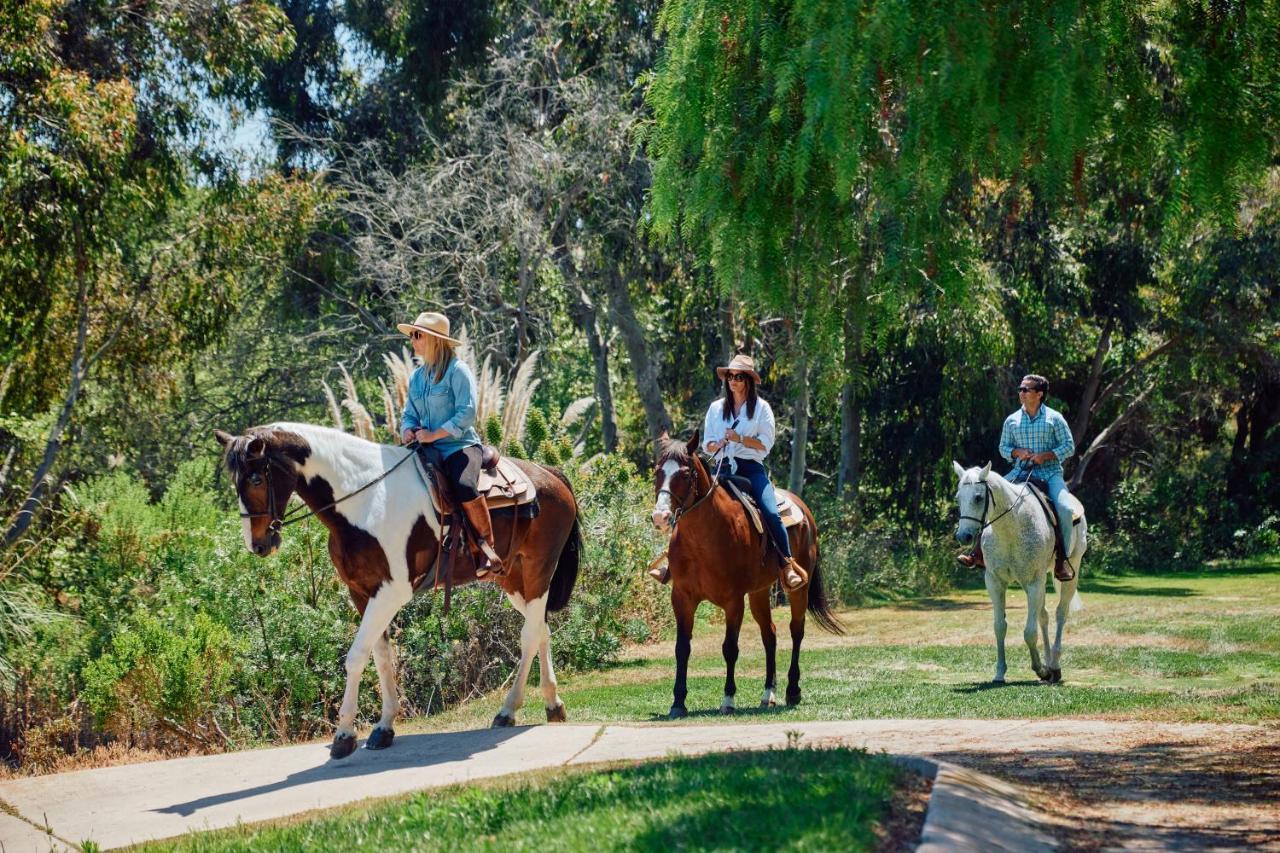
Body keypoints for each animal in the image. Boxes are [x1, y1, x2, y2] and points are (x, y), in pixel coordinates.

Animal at [213, 422, 581, 753]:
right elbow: (382, 656)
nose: (258, 545)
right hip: (513, 580)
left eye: (256, 479)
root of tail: (550, 474)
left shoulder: (390, 593)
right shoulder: (362, 593)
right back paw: (553, 704)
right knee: (542, 629)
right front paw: (384, 727)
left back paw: (507, 710)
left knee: (529, 635)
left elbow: (356, 657)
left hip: (537, 572)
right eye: (235, 483)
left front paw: (345, 736)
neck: (364, 503)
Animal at [650, 432, 839, 717]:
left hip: (799, 589)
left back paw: (792, 691)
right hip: (759, 592)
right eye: (657, 472)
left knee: (796, 631)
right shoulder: (682, 598)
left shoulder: (733, 600)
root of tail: (803, 508)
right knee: (770, 634)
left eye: (684, 473)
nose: (660, 516)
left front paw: (728, 699)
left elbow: (730, 648)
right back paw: (768, 693)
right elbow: (682, 648)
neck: (703, 539)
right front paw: (678, 702)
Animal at [957, 461, 1085, 681]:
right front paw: (1000, 672)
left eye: (978, 497)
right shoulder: (995, 582)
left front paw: (1041, 669)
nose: (963, 536)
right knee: (1044, 616)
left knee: (1061, 613)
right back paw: (1049, 662)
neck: (1011, 528)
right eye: (958, 498)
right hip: (1040, 582)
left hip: (1068, 572)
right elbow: (1000, 627)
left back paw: (1054, 666)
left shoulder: (1033, 582)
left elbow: (1029, 632)